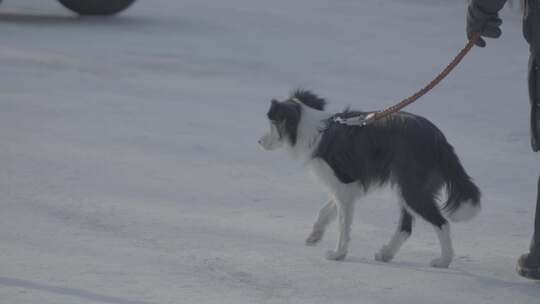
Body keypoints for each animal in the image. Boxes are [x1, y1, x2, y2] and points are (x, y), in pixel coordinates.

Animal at [258, 89, 480, 268]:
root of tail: (439, 140)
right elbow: (326, 210)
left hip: (412, 188)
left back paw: (443, 261)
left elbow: (343, 224)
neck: (314, 129)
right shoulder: (346, 186)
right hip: (408, 186)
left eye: (271, 123)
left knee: (441, 223)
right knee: (406, 226)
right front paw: (315, 235)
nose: (259, 142)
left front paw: (338, 254)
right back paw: (386, 253)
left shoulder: (344, 183)